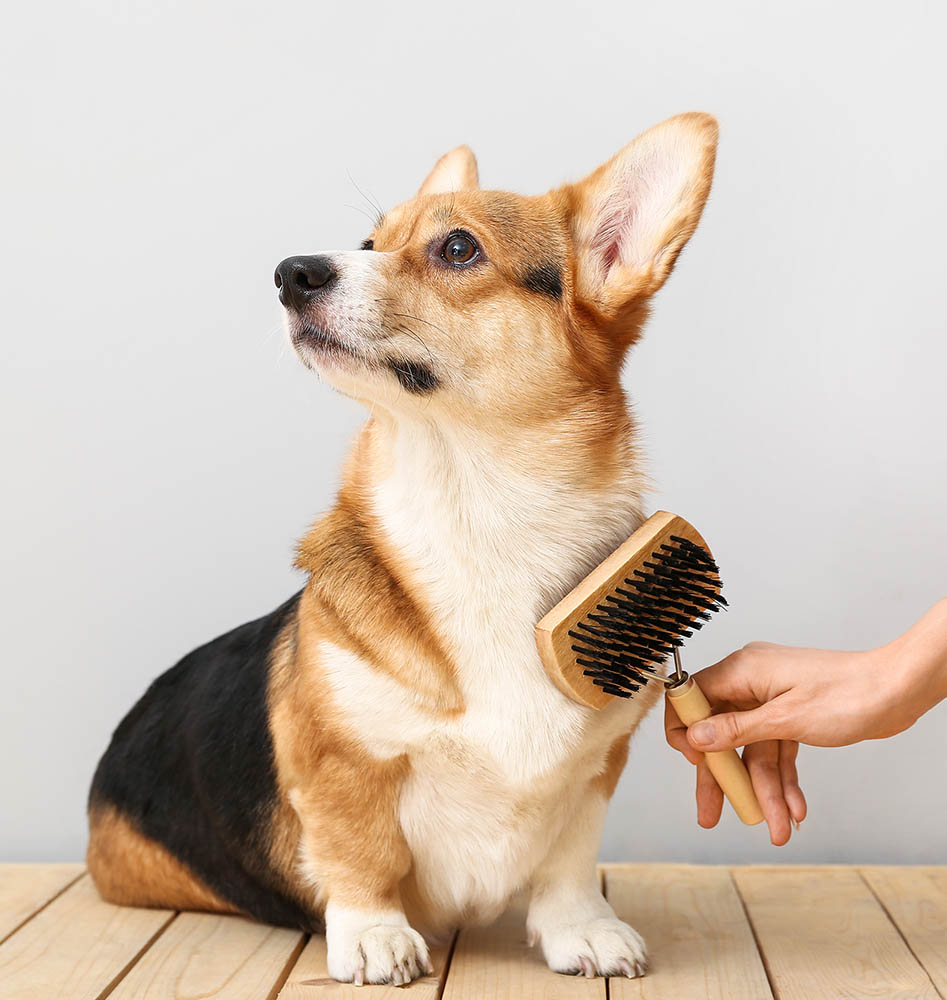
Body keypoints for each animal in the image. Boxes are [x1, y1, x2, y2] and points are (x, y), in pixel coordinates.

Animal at [87, 112, 718, 985]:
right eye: (367, 240)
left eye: (457, 248)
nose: (290, 272)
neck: (477, 512)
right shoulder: (342, 762)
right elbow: (361, 854)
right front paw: (374, 938)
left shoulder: (595, 770)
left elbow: (566, 863)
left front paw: (582, 931)